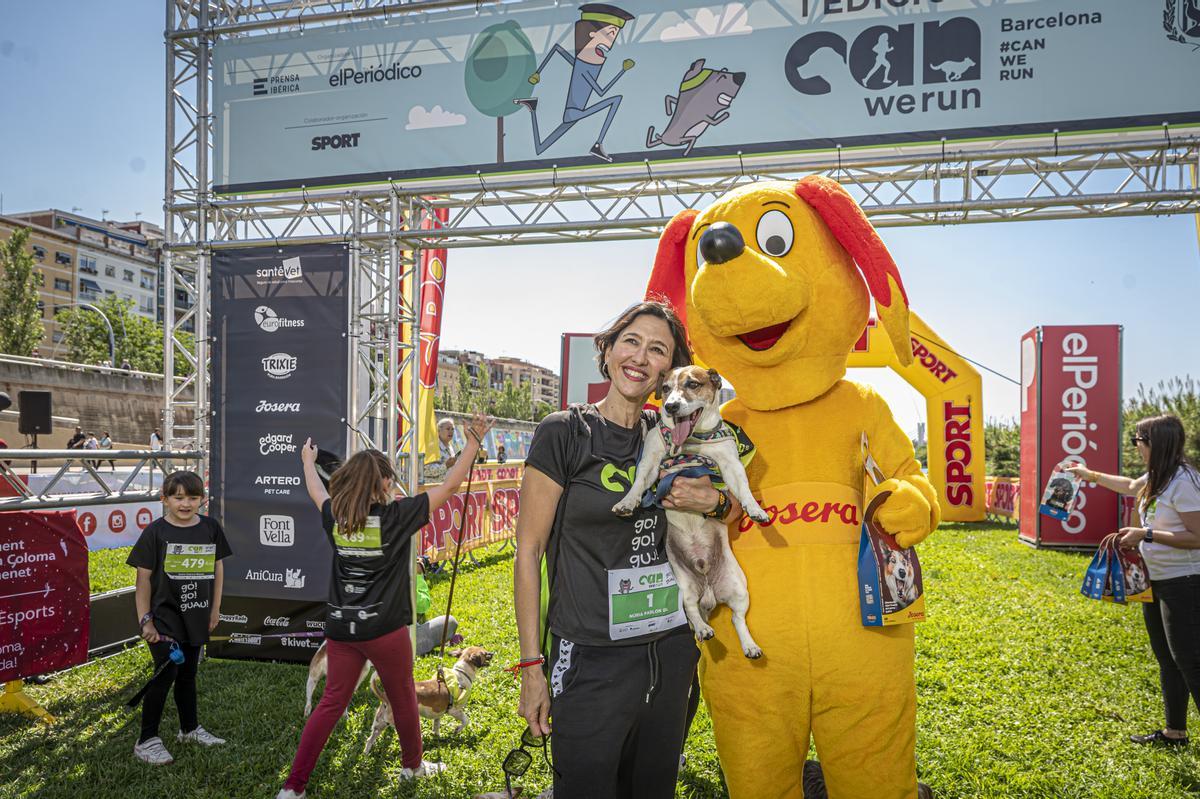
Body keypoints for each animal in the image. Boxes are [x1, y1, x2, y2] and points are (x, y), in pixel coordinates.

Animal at [364, 643, 496, 748]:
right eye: (485, 653)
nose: (492, 652)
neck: (462, 673)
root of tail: (385, 697)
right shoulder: (454, 710)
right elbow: (466, 720)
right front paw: (457, 730)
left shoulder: (439, 714)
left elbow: (436, 726)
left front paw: (438, 737)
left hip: (379, 723)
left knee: (370, 739)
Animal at [614, 364, 763, 657]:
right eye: (666, 388)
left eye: (693, 384)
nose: (670, 406)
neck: (690, 445)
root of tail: (708, 588)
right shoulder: (651, 461)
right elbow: (638, 483)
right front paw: (628, 502)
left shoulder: (730, 464)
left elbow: (743, 489)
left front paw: (755, 508)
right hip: (681, 586)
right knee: (692, 610)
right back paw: (703, 629)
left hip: (739, 588)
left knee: (737, 618)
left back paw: (749, 645)